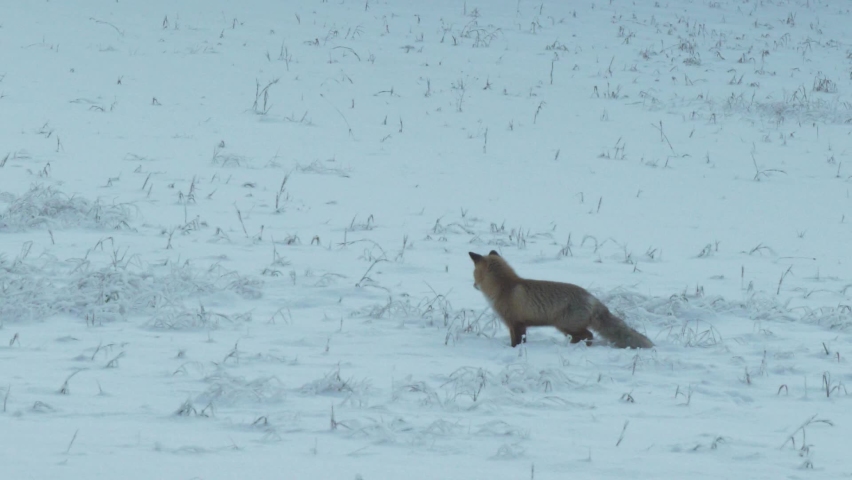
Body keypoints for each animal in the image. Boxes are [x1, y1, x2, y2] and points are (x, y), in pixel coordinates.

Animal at [469, 250, 653, 349]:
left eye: (473, 273)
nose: (473, 285)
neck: (505, 287)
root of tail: (591, 298)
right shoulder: (520, 324)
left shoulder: (515, 323)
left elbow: (517, 342)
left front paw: (513, 350)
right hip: (567, 328)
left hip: (565, 325)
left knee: (589, 335)